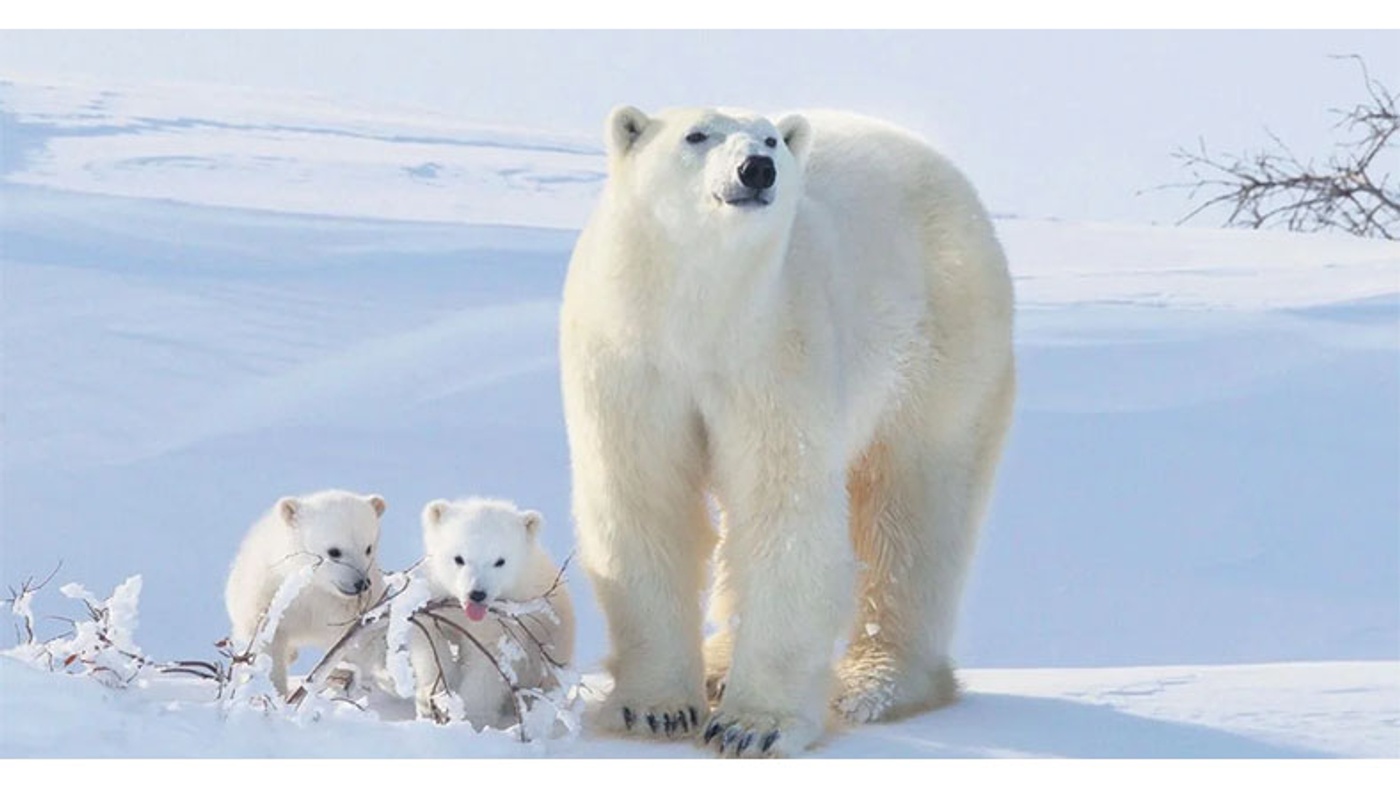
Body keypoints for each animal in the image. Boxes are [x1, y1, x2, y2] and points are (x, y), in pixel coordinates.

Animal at [560, 105, 1019, 756]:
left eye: (770, 138)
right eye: (696, 135)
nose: (757, 169)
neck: (699, 313)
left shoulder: (776, 346)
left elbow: (781, 506)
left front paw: (752, 725)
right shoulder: (631, 357)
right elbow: (645, 497)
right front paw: (655, 709)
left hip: (943, 344)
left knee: (915, 508)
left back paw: (877, 680)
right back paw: (718, 665)